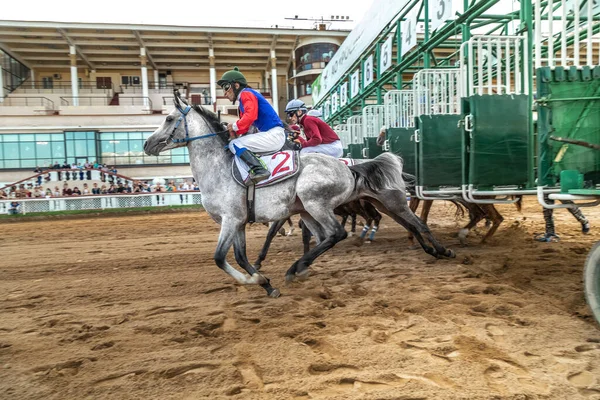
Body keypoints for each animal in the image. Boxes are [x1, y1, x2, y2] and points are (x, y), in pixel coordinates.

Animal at [144, 95, 454, 296]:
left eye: (169, 119)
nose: (147, 144)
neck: (219, 169)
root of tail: (350, 168)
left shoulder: (231, 219)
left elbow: (220, 258)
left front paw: (257, 281)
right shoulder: (239, 221)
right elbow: (241, 257)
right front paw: (264, 281)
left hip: (318, 202)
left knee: (339, 233)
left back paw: (297, 267)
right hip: (364, 203)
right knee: (384, 227)